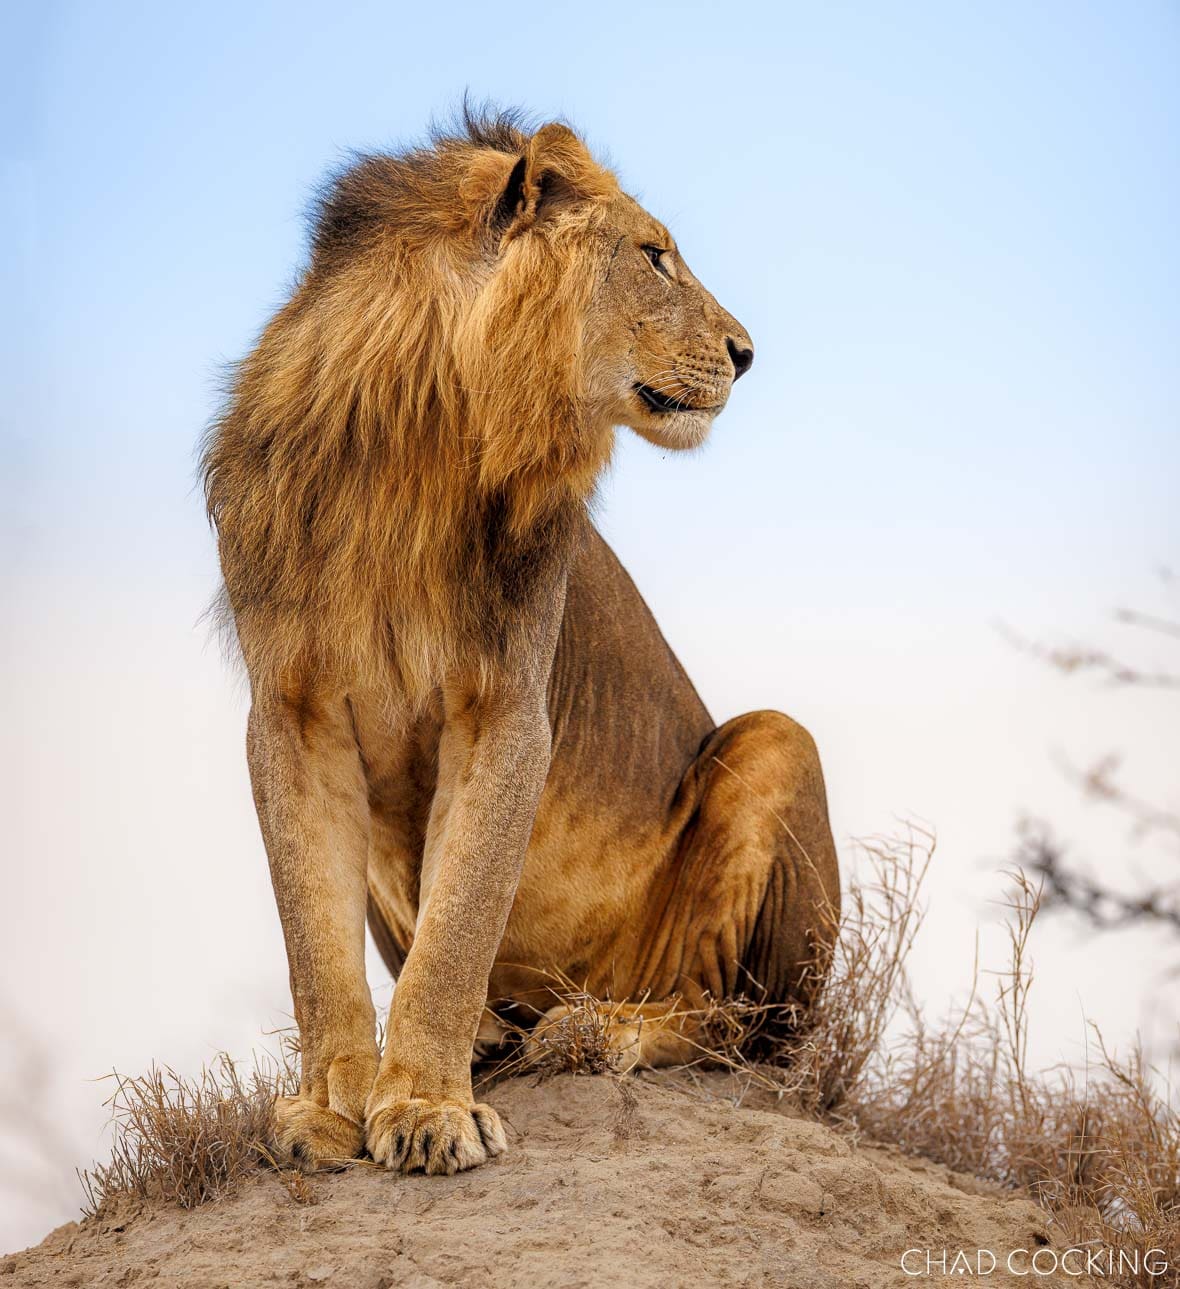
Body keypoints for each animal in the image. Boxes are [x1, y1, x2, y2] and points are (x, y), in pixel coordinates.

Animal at [202, 108, 840, 1177]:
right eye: (653, 255)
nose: (747, 352)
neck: (411, 447)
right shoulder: (290, 709)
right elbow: (314, 943)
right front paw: (329, 1108)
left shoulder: (507, 705)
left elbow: (457, 928)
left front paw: (427, 1107)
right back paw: (509, 1033)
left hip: (777, 744)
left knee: (738, 1027)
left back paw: (593, 1028)